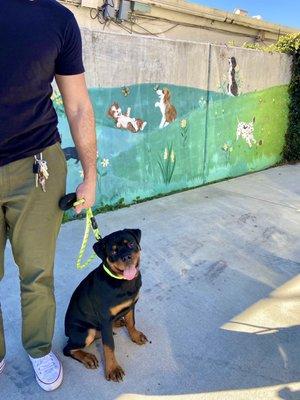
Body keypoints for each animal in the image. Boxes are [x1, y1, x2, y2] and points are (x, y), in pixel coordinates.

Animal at [63, 228, 148, 382]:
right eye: (113, 252)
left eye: (131, 244)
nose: (126, 257)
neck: (122, 281)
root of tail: (67, 331)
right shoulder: (105, 318)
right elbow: (109, 346)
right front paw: (113, 369)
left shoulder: (131, 306)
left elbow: (131, 322)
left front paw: (135, 336)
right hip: (85, 333)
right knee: (67, 349)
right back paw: (87, 357)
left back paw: (118, 323)